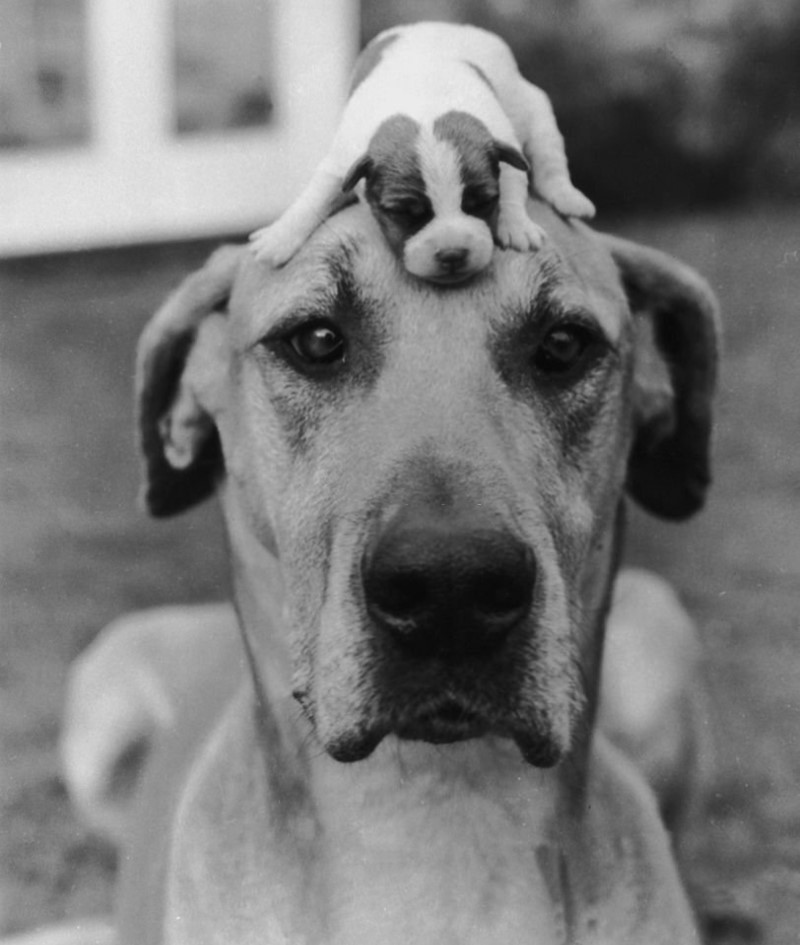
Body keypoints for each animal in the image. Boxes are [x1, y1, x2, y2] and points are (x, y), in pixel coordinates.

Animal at [340, 109, 528, 282]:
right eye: (403, 213)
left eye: (483, 203)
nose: (452, 255)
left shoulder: (506, 137)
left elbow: (514, 177)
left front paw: (516, 223)